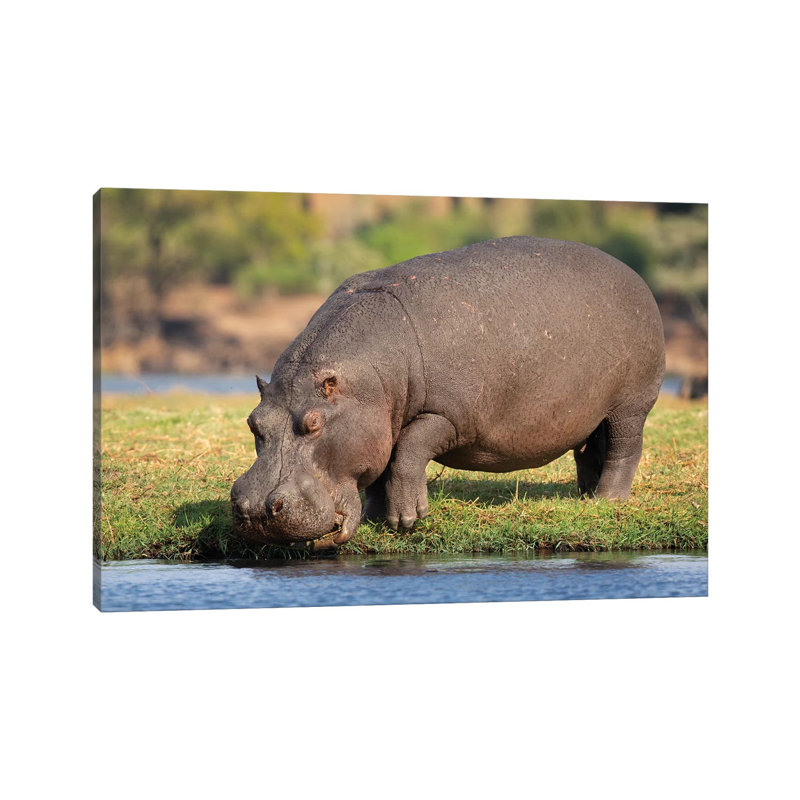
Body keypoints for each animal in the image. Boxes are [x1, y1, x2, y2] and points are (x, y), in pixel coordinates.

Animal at [230, 236, 665, 548]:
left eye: (314, 423)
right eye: (253, 422)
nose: (255, 510)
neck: (368, 380)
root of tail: (637, 277)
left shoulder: (449, 417)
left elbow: (407, 451)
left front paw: (407, 519)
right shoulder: (379, 424)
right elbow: (380, 468)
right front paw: (376, 518)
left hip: (631, 405)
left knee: (625, 449)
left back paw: (609, 501)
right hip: (593, 413)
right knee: (591, 450)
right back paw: (584, 498)